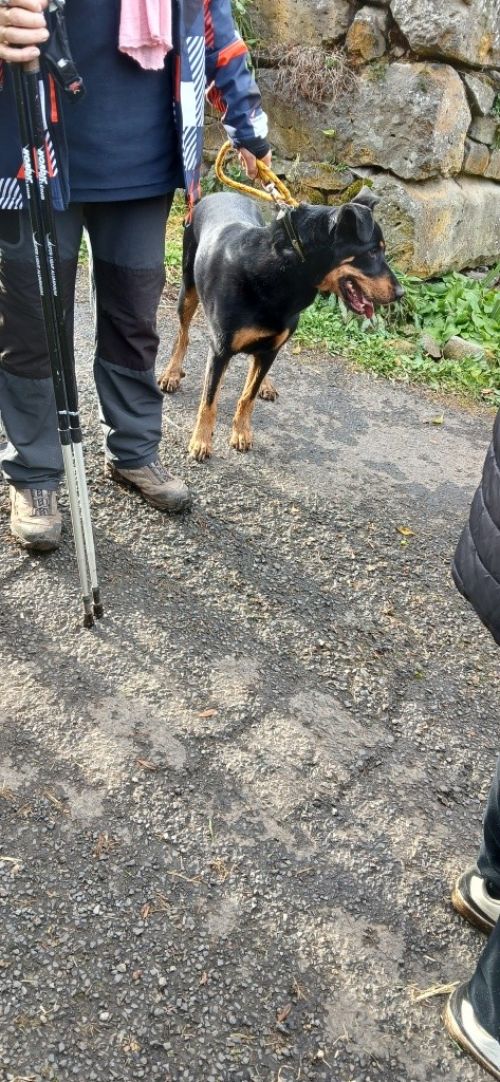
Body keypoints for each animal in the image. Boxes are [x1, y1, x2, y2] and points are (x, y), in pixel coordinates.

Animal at [159, 189, 403, 461]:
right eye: (371, 252)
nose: (401, 294)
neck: (286, 268)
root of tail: (221, 192)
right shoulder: (220, 350)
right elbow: (209, 401)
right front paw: (201, 441)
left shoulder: (272, 347)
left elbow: (248, 395)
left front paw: (241, 432)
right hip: (188, 288)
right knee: (183, 334)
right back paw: (171, 373)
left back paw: (265, 383)